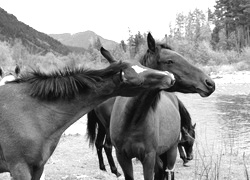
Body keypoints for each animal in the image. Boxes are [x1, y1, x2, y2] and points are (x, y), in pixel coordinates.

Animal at [0, 47, 176, 179]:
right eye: (137, 81)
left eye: (141, 64)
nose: (170, 77)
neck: (32, 111)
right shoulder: (19, 169)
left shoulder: (38, 168)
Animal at [87, 32, 214, 180]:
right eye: (169, 61)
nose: (209, 83)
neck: (132, 119)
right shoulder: (123, 157)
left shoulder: (149, 158)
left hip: (170, 151)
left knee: (168, 171)